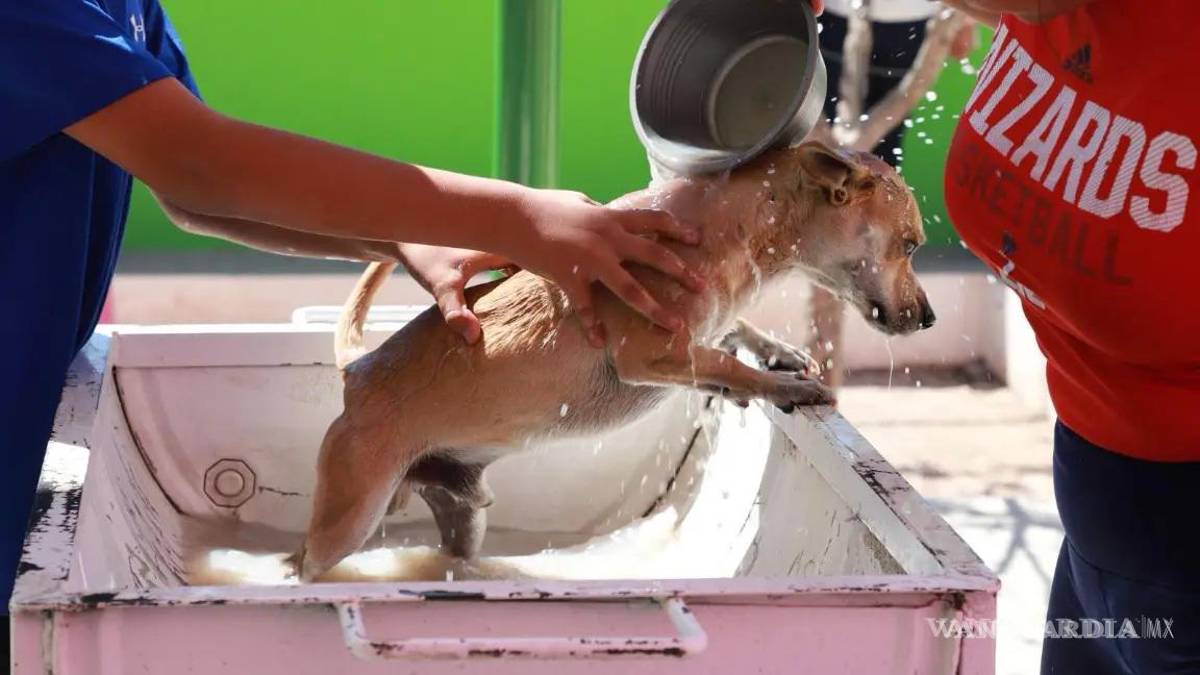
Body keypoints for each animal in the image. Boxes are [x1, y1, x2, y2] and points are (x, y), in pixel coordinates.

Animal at [297, 141, 935, 581]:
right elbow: (722, 361)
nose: (928, 318)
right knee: (307, 560)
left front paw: (775, 353)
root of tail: (356, 372)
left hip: (461, 513)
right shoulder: (650, 353)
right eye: (910, 244)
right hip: (349, 516)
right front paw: (783, 388)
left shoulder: (698, 333)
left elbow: (729, 336)